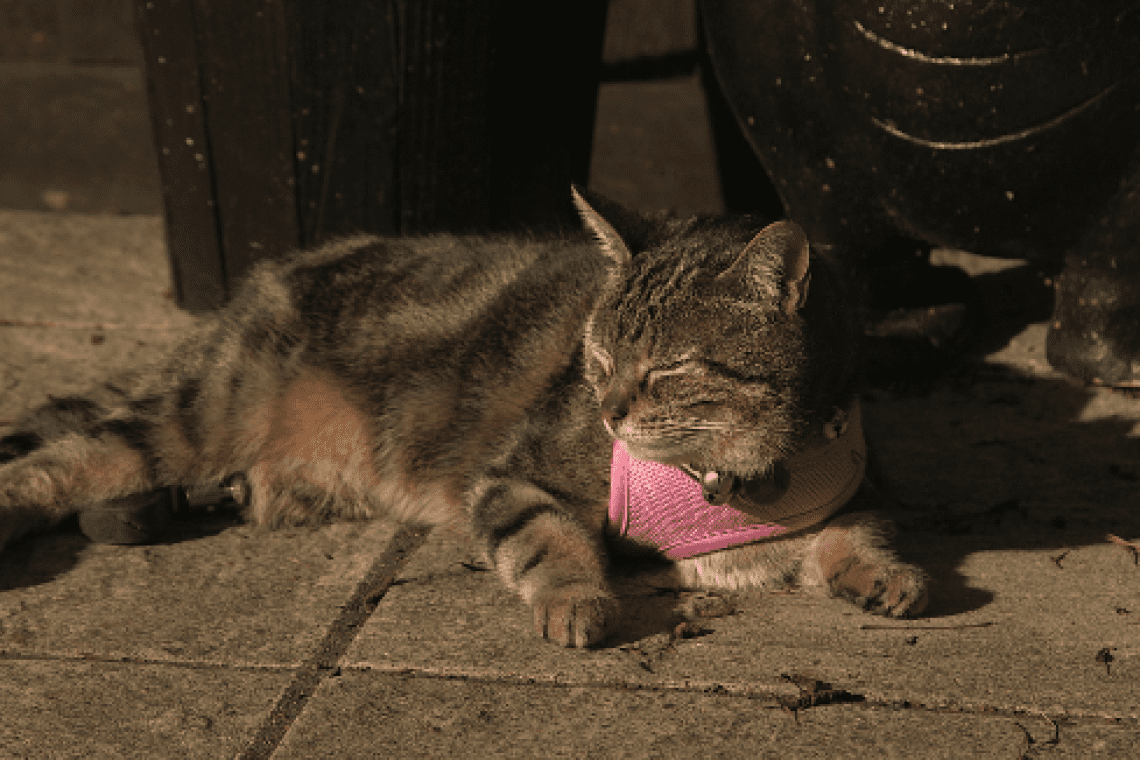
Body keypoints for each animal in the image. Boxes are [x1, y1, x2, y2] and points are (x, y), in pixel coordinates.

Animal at [0, 190, 925, 647]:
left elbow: (859, 536)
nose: (608, 410)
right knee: (62, 459)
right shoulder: (515, 478)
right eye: (596, 357)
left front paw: (882, 577)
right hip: (197, 417)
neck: (725, 477)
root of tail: (257, 283)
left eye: (666, 370)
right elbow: (550, 544)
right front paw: (577, 601)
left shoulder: (854, 493)